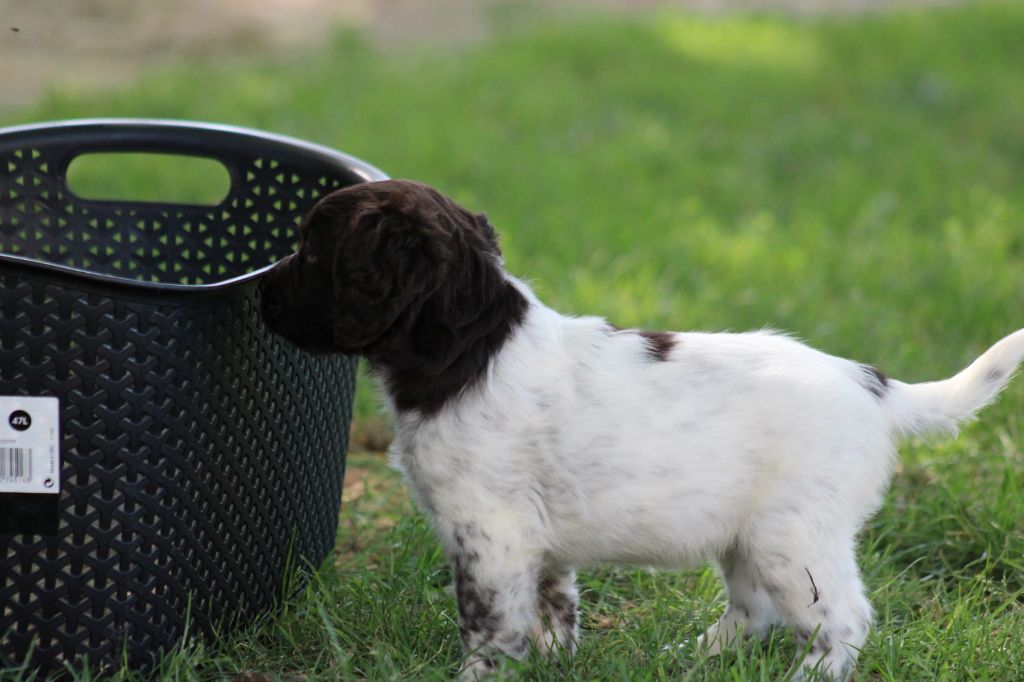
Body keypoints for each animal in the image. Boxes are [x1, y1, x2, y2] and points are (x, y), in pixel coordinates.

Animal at [262, 180, 1024, 679]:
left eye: (310, 252)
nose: (260, 296)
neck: (470, 347)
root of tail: (874, 386)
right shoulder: (536, 544)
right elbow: (551, 612)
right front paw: (555, 663)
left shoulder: (490, 535)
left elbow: (489, 627)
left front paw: (481, 676)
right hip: (748, 537)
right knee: (753, 612)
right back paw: (688, 659)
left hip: (794, 538)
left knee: (843, 620)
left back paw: (804, 675)